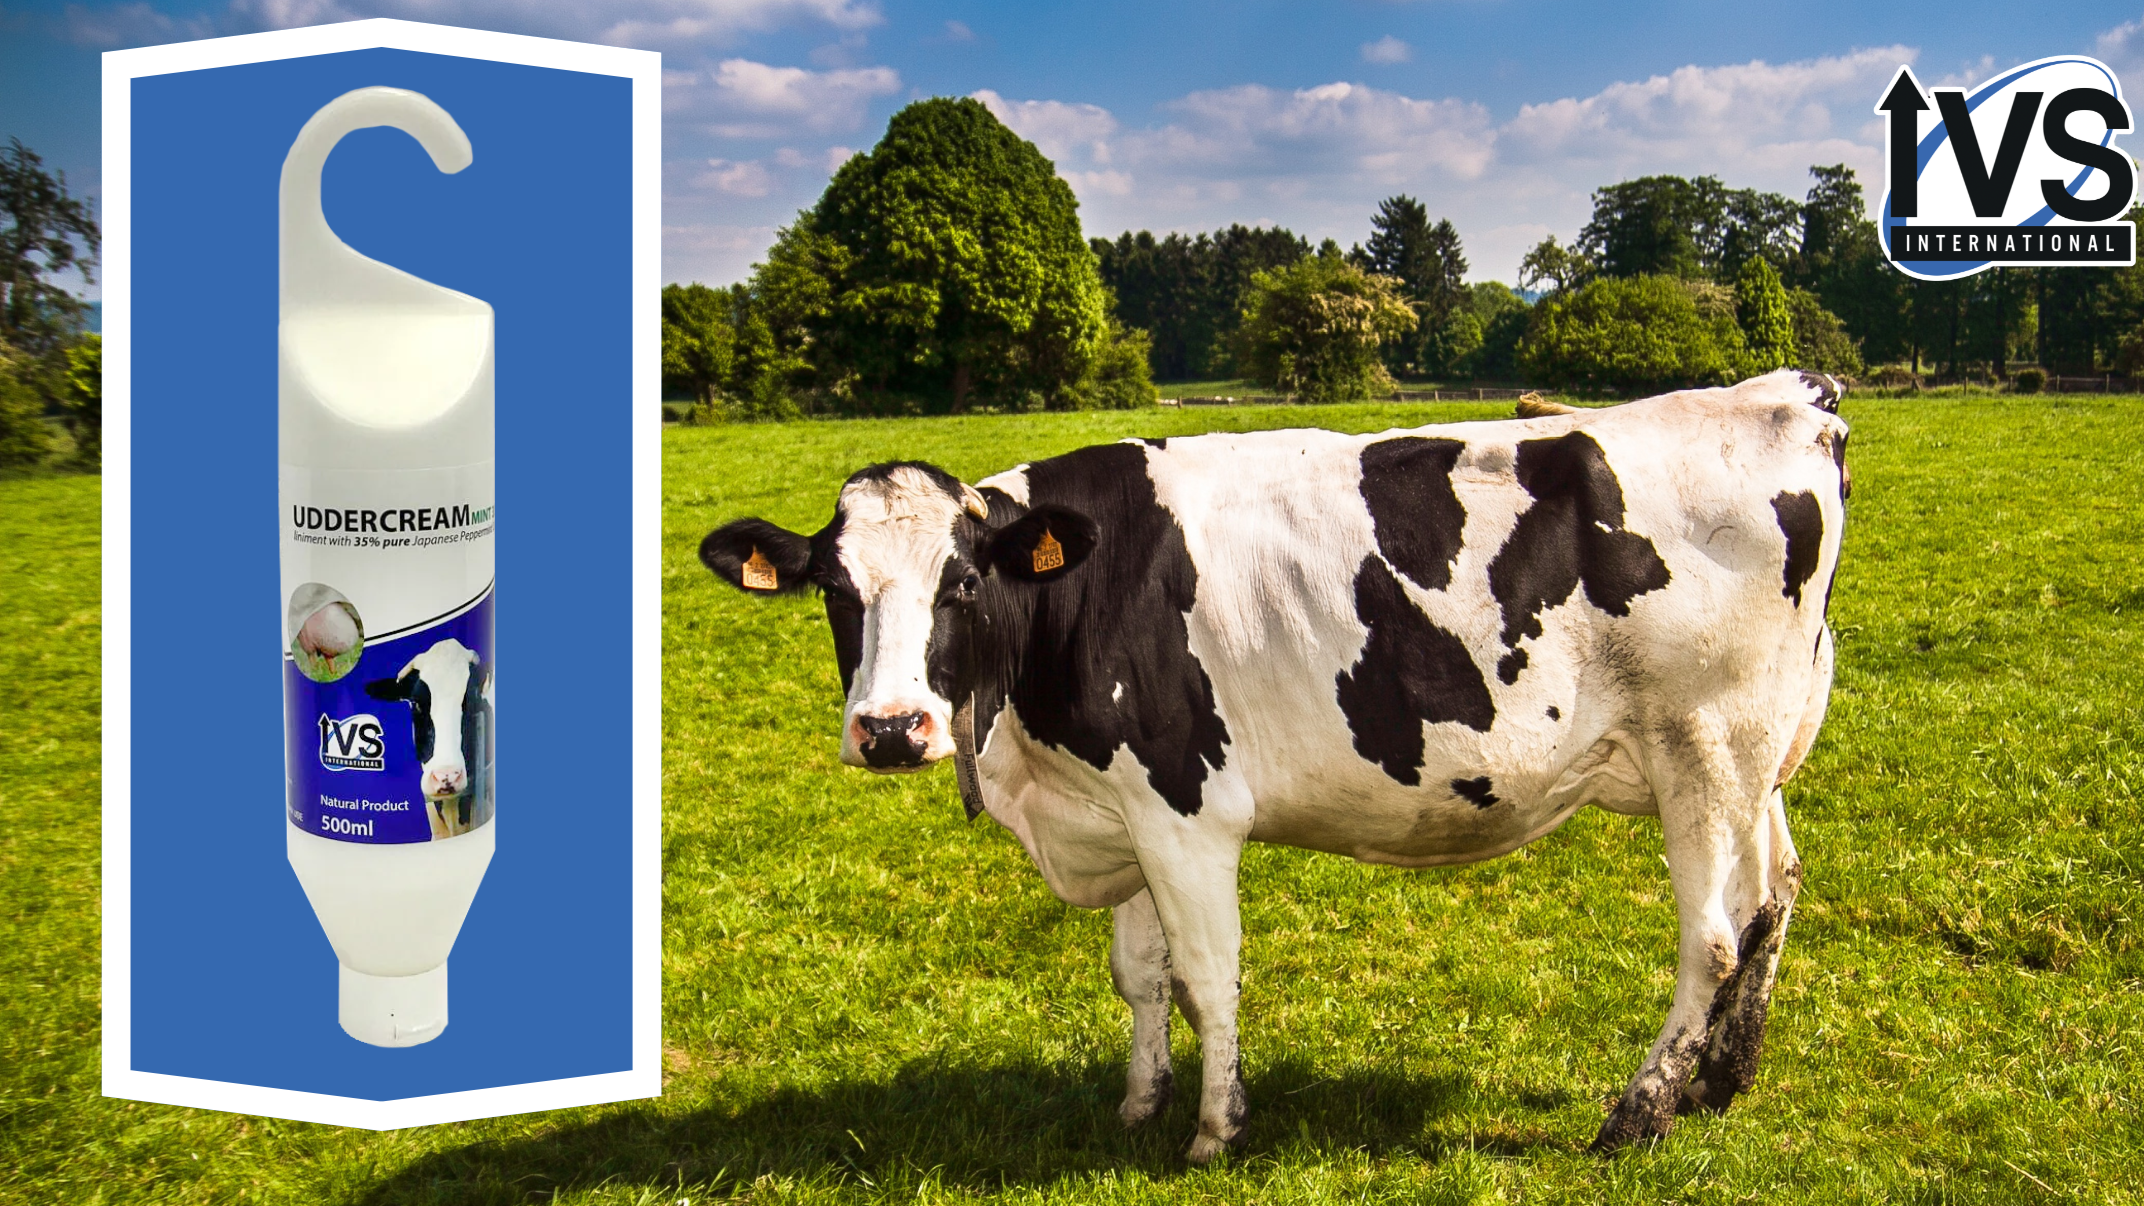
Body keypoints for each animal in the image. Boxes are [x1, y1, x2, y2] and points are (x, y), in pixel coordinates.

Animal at [697, 368, 1850, 1158]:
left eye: (963, 584)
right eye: (836, 591)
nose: (892, 729)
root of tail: (1789, 393)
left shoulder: (1183, 806)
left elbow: (1206, 975)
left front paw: (1215, 1128)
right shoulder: (1121, 804)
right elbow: (1139, 975)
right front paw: (1139, 1104)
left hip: (1703, 746)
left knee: (1712, 938)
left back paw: (1638, 1112)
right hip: (1753, 754)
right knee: (1773, 893)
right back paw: (1720, 1080)